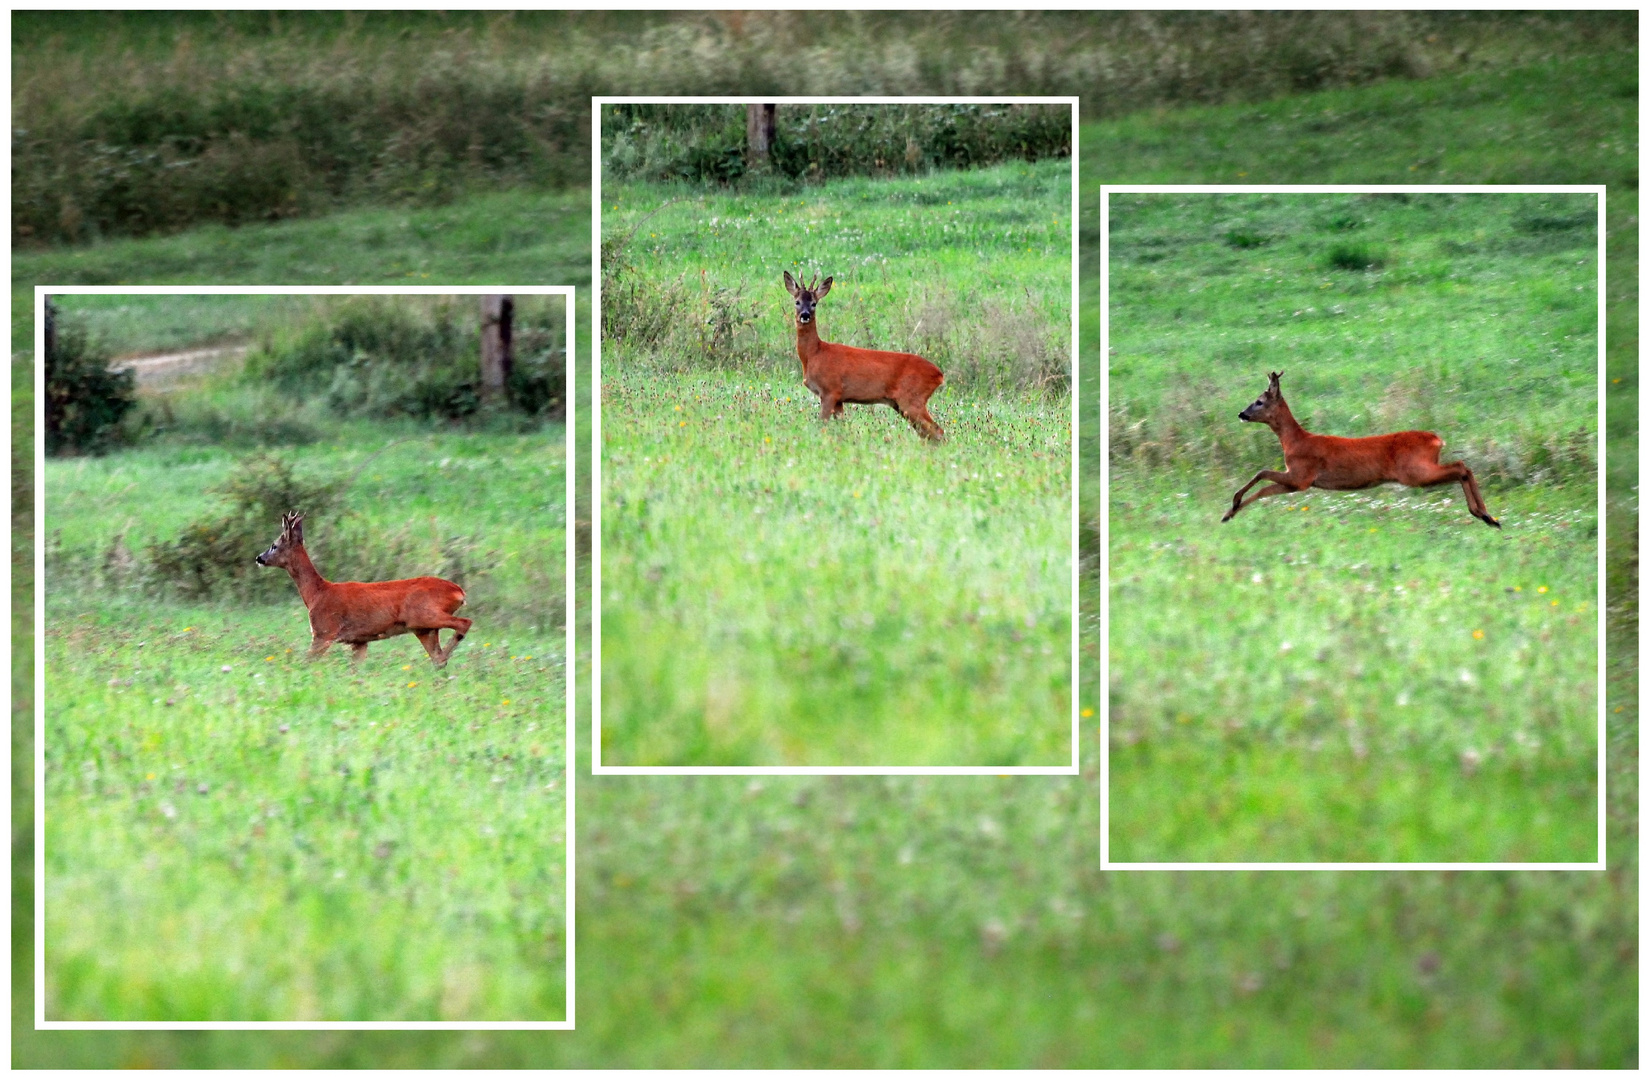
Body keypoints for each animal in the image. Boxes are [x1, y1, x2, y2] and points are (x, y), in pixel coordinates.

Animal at [250, 507, 474, 666]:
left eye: (274, 545)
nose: (259, 558)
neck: (317, 593)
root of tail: (459, 591)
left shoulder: (324, 630)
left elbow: (306, 662)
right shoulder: (359, 641)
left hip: (422, 614)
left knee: (464, 623)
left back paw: (445, 656)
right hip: (423, 629)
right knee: (437, 654)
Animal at [781, 272, 949, 441]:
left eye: (814, 303)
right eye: (797, 302)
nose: (805, 315)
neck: (814, 354)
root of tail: (939, 375)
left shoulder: (830, 390)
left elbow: (822, 424)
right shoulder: (839, 398)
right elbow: (840, 427)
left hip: (912, 399)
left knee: (937, 431)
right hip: (904, 404)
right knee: (928, 433)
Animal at [1220, 374, 1503, 530]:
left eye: (1259, 401)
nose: (1241, 414)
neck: (1294, 441)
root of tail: (1436, 439)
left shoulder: (1302, 475)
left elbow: (1262, 472)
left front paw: (1232, 505)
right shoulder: (1298, 482)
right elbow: (1264, 489)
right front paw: (1229, 513)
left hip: (1414, 471)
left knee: (1461, 466)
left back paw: (1484, 515)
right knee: (1463, 467)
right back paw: (1489, 517)